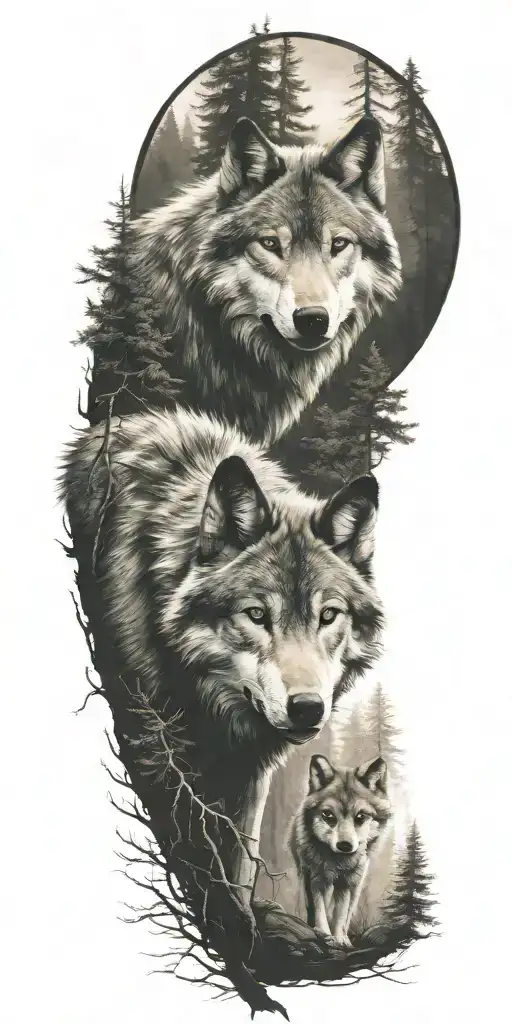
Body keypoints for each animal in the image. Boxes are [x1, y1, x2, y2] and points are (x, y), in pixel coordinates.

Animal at [62, 408, 384, 898]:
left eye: (328, 615)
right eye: (256, 614)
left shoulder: (250, 777)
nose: (308, 708)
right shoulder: (157, 759)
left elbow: (238, 866)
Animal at [289, 753, 392, 946]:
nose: (345, 845)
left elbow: (341, 914)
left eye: (360, 817)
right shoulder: (316, 879)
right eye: (328, 815)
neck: (337, 863)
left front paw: (339, 939)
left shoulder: (346, 884)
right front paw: (324, 934)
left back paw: (344, 936)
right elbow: (320, 910)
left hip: (356, 885)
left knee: (349, 911)